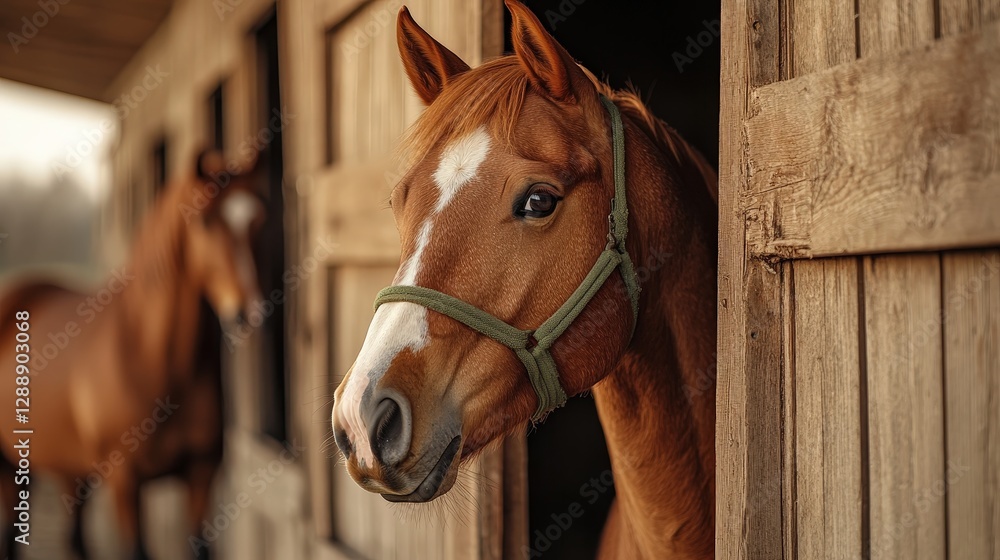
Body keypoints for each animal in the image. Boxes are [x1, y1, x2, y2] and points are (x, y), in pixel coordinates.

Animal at [0, 150, 267, 560]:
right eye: (205, 220)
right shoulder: (124, 483)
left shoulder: (201, 476)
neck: (152, 361)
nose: (247, 312)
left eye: (259, 219)